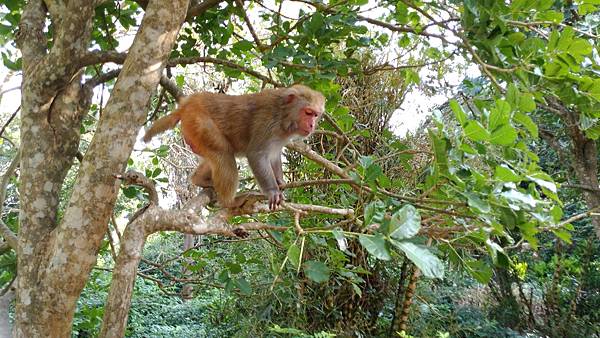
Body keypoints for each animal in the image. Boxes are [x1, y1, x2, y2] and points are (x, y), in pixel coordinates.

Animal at [143, 84, 326, 210]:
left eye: (316, 115)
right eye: (308, 113)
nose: (312, 125)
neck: (283, 115)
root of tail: (187, 106)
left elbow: (273, 155)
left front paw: (280, 181)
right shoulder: (267, 122)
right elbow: (256, 155)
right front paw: (273, 190)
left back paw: (199, 179)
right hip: (198, 123)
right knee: (223, 153)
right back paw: (230, 202)